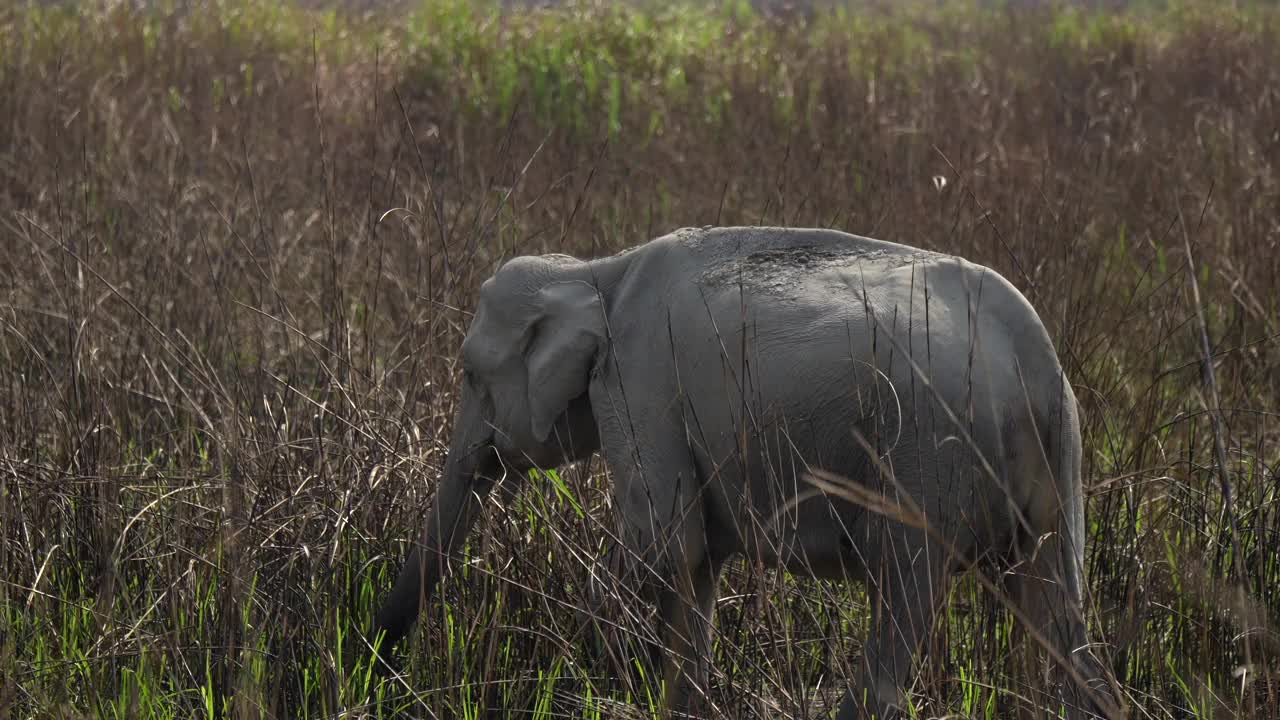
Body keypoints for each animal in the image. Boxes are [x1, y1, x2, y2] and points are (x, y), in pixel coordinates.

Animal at [373, 225, 1116, 717]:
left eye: (471, 376)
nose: (379, 659)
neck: (596, 272)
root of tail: (1035, 359)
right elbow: (696, 562)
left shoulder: (640, 384)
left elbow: (663, 547)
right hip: (1059, 464)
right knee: (1057, 609)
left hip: (926, 458)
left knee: (905, 597)